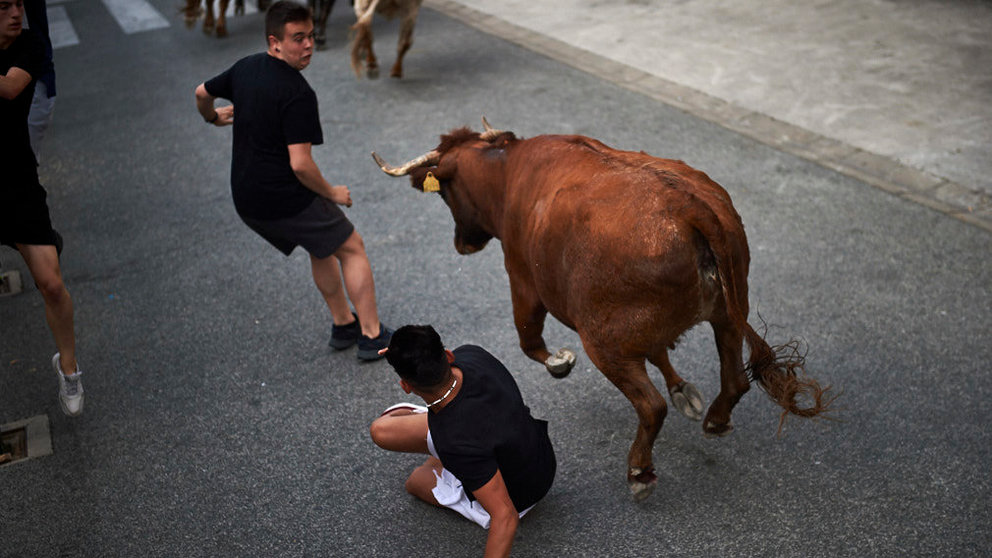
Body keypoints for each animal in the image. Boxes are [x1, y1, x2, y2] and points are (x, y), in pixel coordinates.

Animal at [374, 119, 836, 504]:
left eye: (446, 193)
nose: (461, 244)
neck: (507, 173)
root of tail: (690, 205)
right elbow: (659, 352)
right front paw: (682, 388)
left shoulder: (523, 280)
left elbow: (529, 341)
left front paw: (560, 362)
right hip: (727, 311)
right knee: (735, 379)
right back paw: (715, 419)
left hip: (603, 342)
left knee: (650, 406)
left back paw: (639, 470)